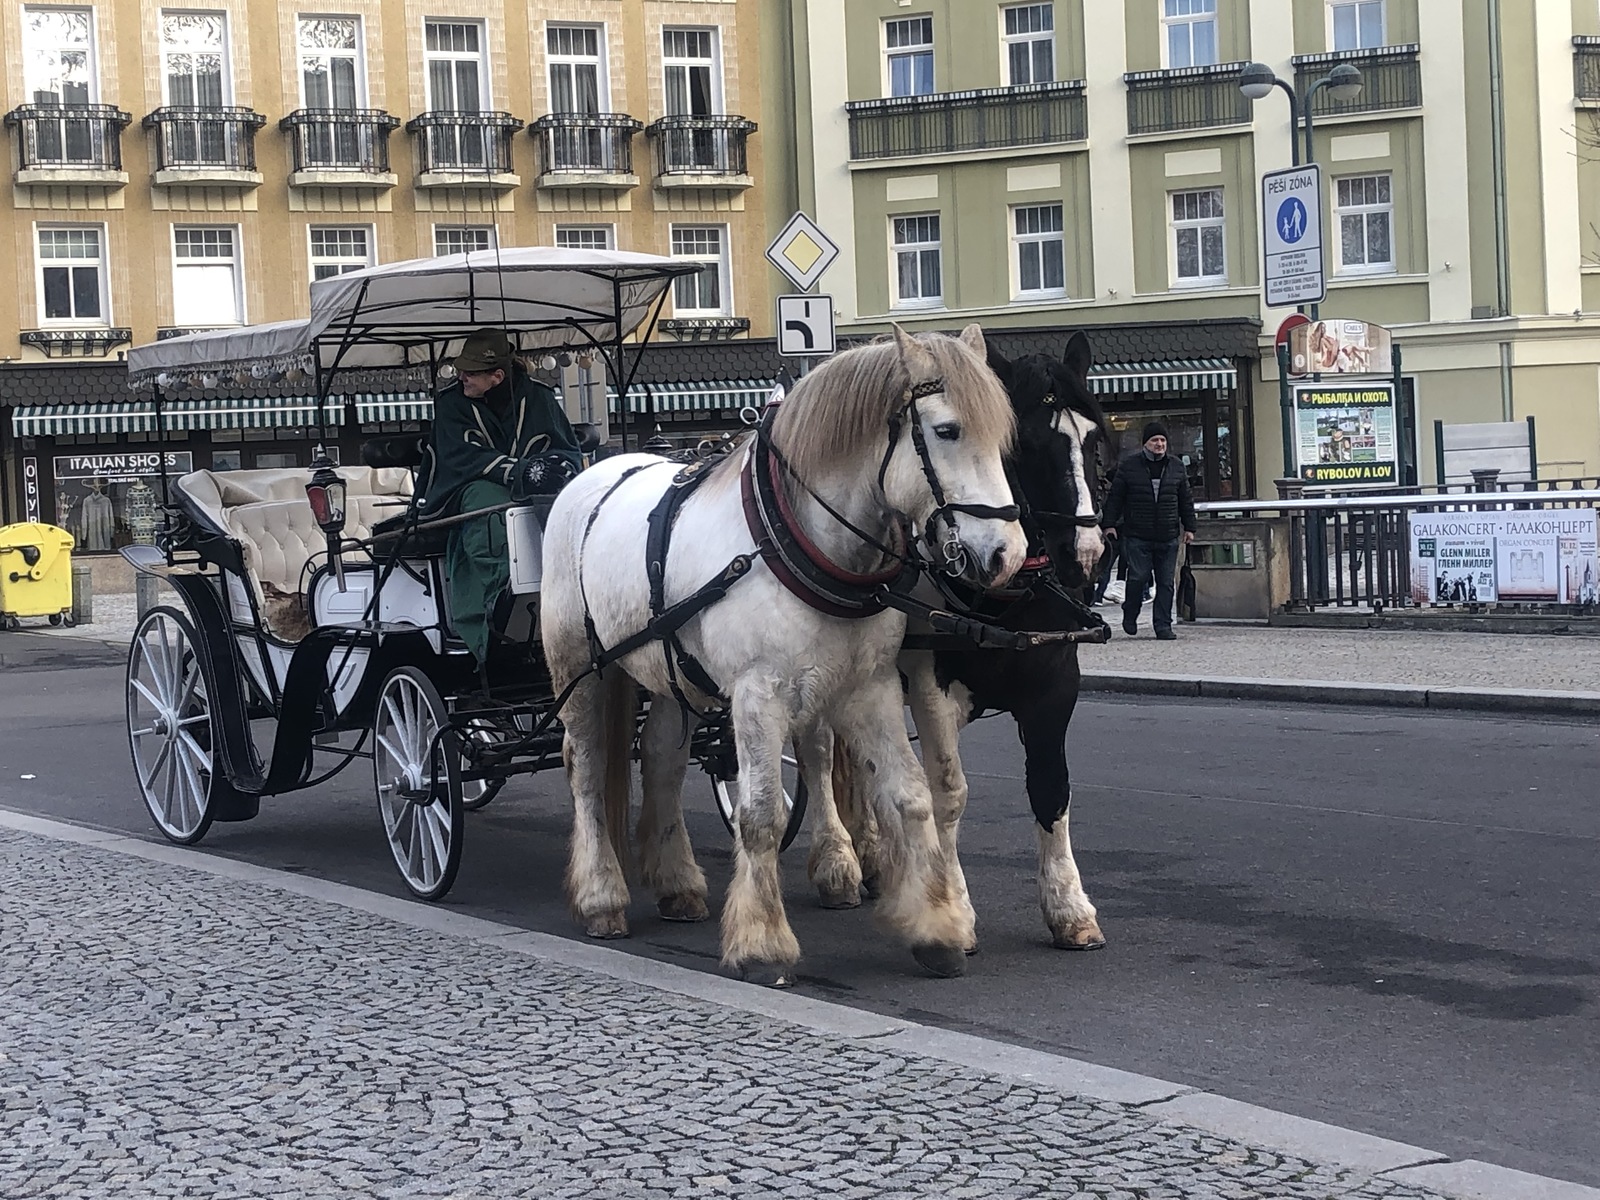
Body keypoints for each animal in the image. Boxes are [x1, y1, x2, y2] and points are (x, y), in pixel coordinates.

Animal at [540, 329, 1024, 985]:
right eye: (947, 430)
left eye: (1001, 437)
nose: (1007, 555)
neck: (794, 540)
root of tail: (594, 472)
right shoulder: (757, 693)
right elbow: (762, 813)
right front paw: (762, 943)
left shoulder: (867, 686)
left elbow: (910, 795)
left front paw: (938, 927)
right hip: (582, 670)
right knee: (588, 771)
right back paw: (601, 897)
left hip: (670, 670)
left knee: (662, 758)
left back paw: (677, 883)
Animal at [812, 326, 1113, 947]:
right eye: (1024, 444)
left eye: (1093, 438)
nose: (1086, 554)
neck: (1009, 598)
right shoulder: (932, 688)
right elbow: (947, 793)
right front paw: (951, 905)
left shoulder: (1054, 689)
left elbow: (1051, 787)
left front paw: (1069, 907)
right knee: (821, 753)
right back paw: (837, 861)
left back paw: (873, 855)